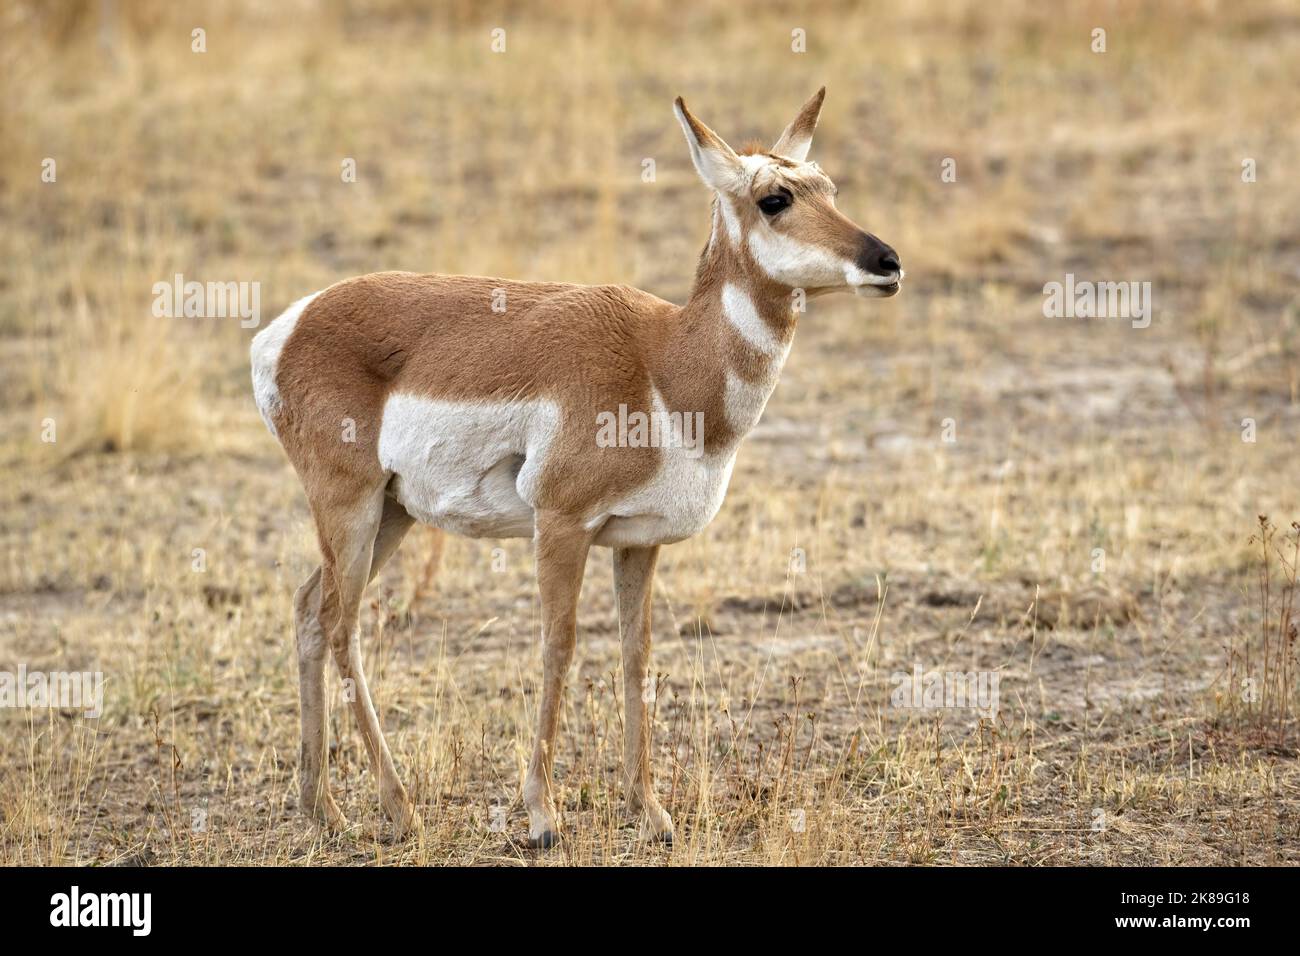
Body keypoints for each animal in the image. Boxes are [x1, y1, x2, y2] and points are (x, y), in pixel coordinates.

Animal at [253, 89, 904, 848]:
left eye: (829, 186)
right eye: (775, 197)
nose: (886, 261)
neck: (662, 364)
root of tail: (289, 326)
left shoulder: (637, 541)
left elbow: (636, 653)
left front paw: (651, 811)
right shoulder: (561, 525)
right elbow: (557, 646)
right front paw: (543, 815)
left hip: (391, 514)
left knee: (308, 609)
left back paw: (320, 806)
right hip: (350, 507)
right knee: (341, 627)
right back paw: (398, 807)